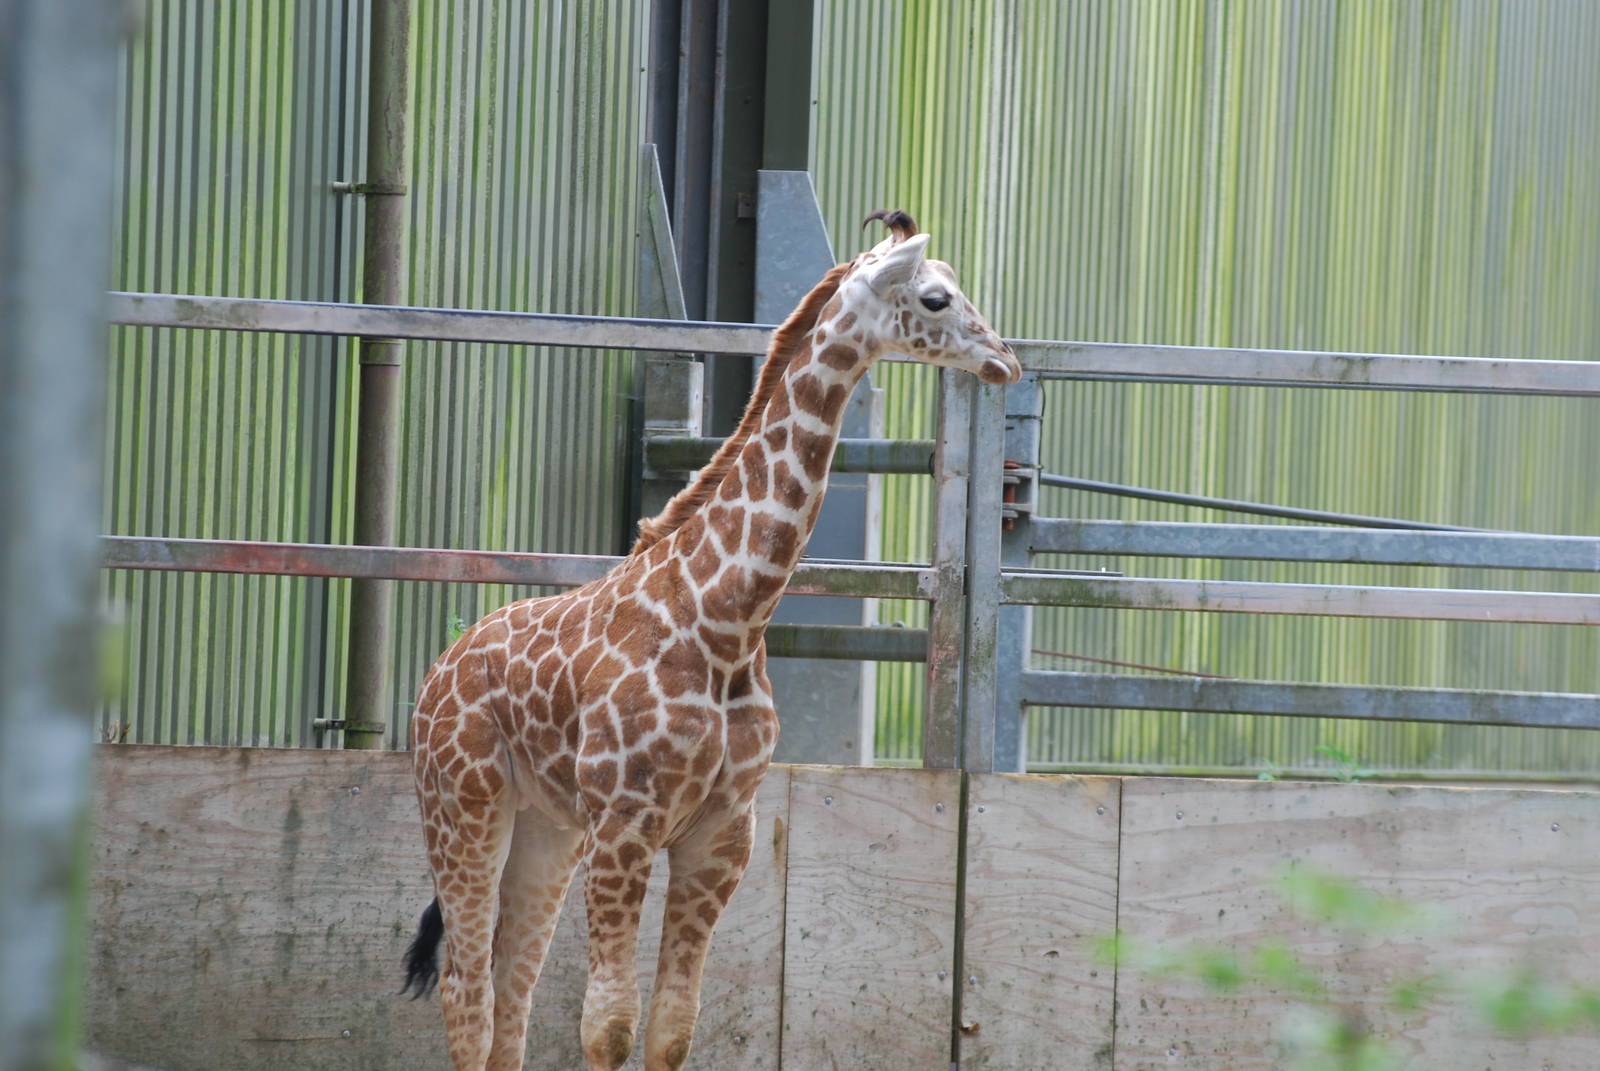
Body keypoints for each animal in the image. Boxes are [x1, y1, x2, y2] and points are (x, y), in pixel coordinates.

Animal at [402, 211, 1020, 1071]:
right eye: (935, 297)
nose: (1006, 359)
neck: (727, 617)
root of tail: (438, 670)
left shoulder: (720, 835)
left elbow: (669, 1029)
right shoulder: (625, 825)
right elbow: (608, 1025)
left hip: (545, 827)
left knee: (512, 989)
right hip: (464, 806)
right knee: (470, 994)